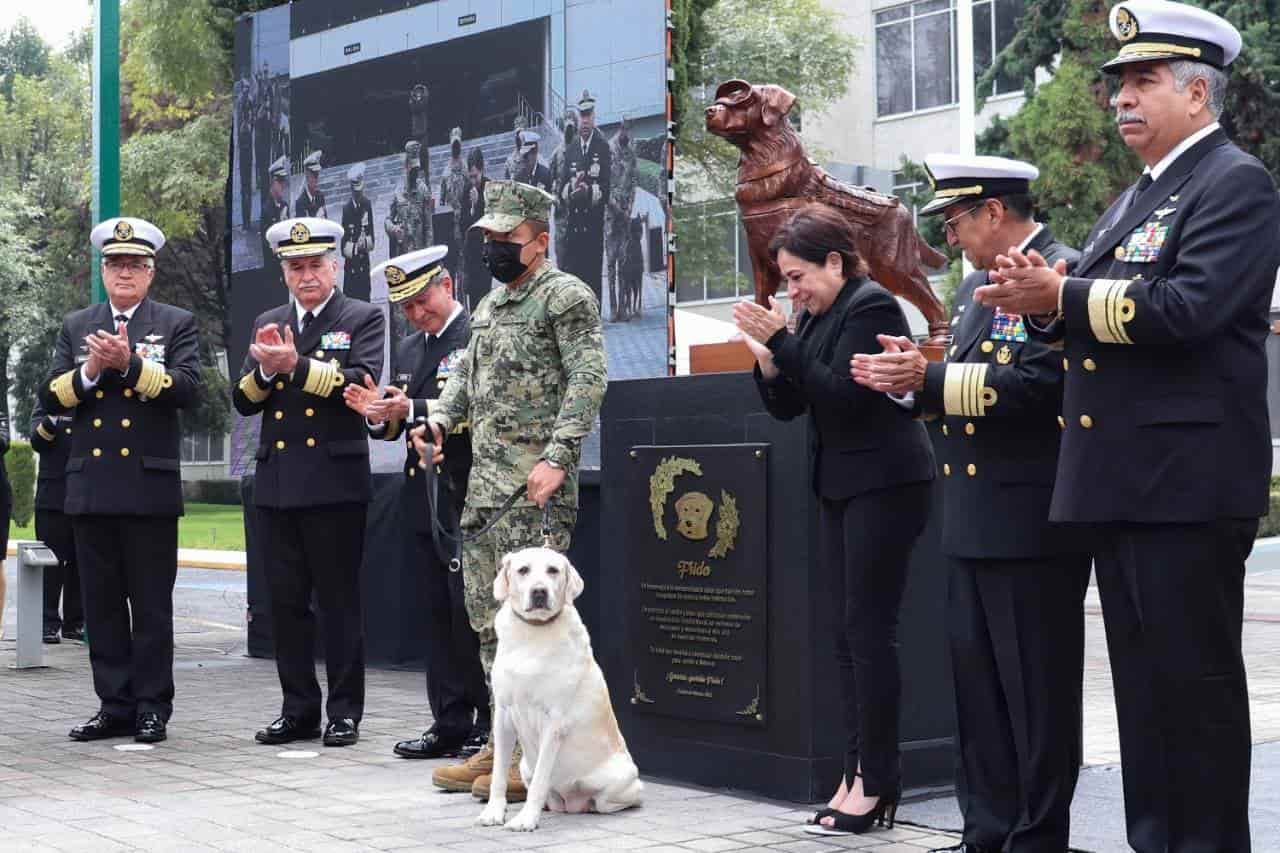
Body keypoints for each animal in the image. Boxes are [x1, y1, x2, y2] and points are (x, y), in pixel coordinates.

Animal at [476, 545, 645, 829]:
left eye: (553, 570)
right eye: (523, 570)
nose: (539, 592)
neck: (532, 633)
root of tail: (571, 802)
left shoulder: (553, 722)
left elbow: (541, 779)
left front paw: (526, 819)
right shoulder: (502, 715)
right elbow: (499, 773)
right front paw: (494, 812)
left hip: (621, 778)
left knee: (611, 801)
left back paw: (588, 805)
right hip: (524, 767)